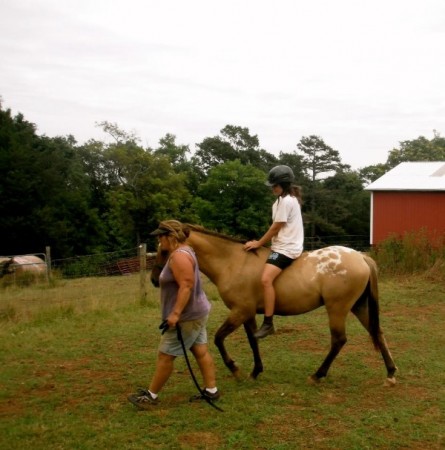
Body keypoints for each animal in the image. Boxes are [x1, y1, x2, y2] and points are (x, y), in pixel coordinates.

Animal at [151, 223, 398, 384]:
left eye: (165, 250)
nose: (155, 279)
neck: (233, 262)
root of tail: (360, 257)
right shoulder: (248, 314)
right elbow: (253, 341)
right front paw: (255, 371)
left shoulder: (240, 311)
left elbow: (219, 338)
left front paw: (235, 369)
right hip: (359, 306)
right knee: (377, 332)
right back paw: (391, 373)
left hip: (337, 308)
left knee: (339, 340)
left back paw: (317, 375)